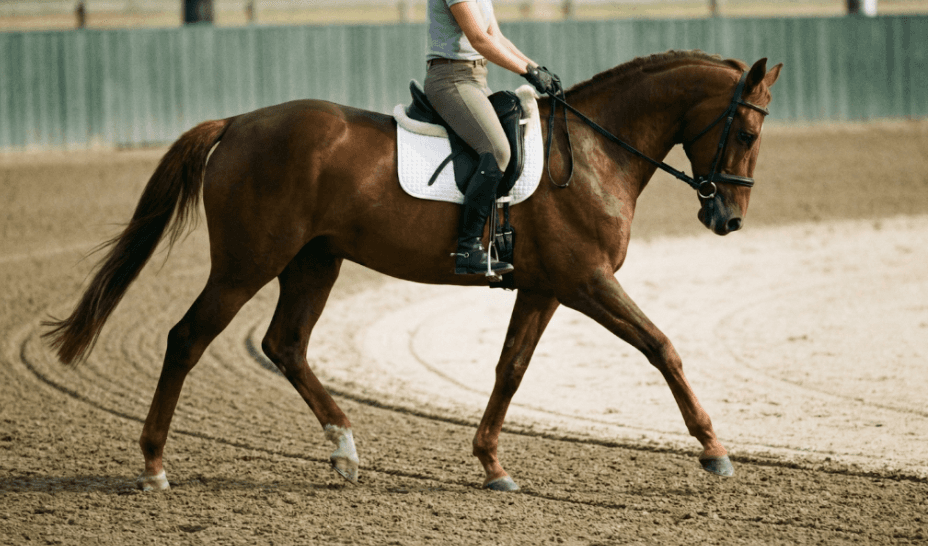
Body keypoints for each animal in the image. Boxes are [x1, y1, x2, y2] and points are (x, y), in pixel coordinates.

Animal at [43, 50, 782, 492]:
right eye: (747, 133)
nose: (728, 219)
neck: (596, 152)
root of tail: (239, 122)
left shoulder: (544, 289)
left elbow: (510, 369)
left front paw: (491, 463)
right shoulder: (586, 282)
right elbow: (662, 346)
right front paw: (714, 449)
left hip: (315, 261)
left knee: (285, 345)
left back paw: (343, 450)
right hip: (247, 263)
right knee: (187, 340)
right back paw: (153, 464)